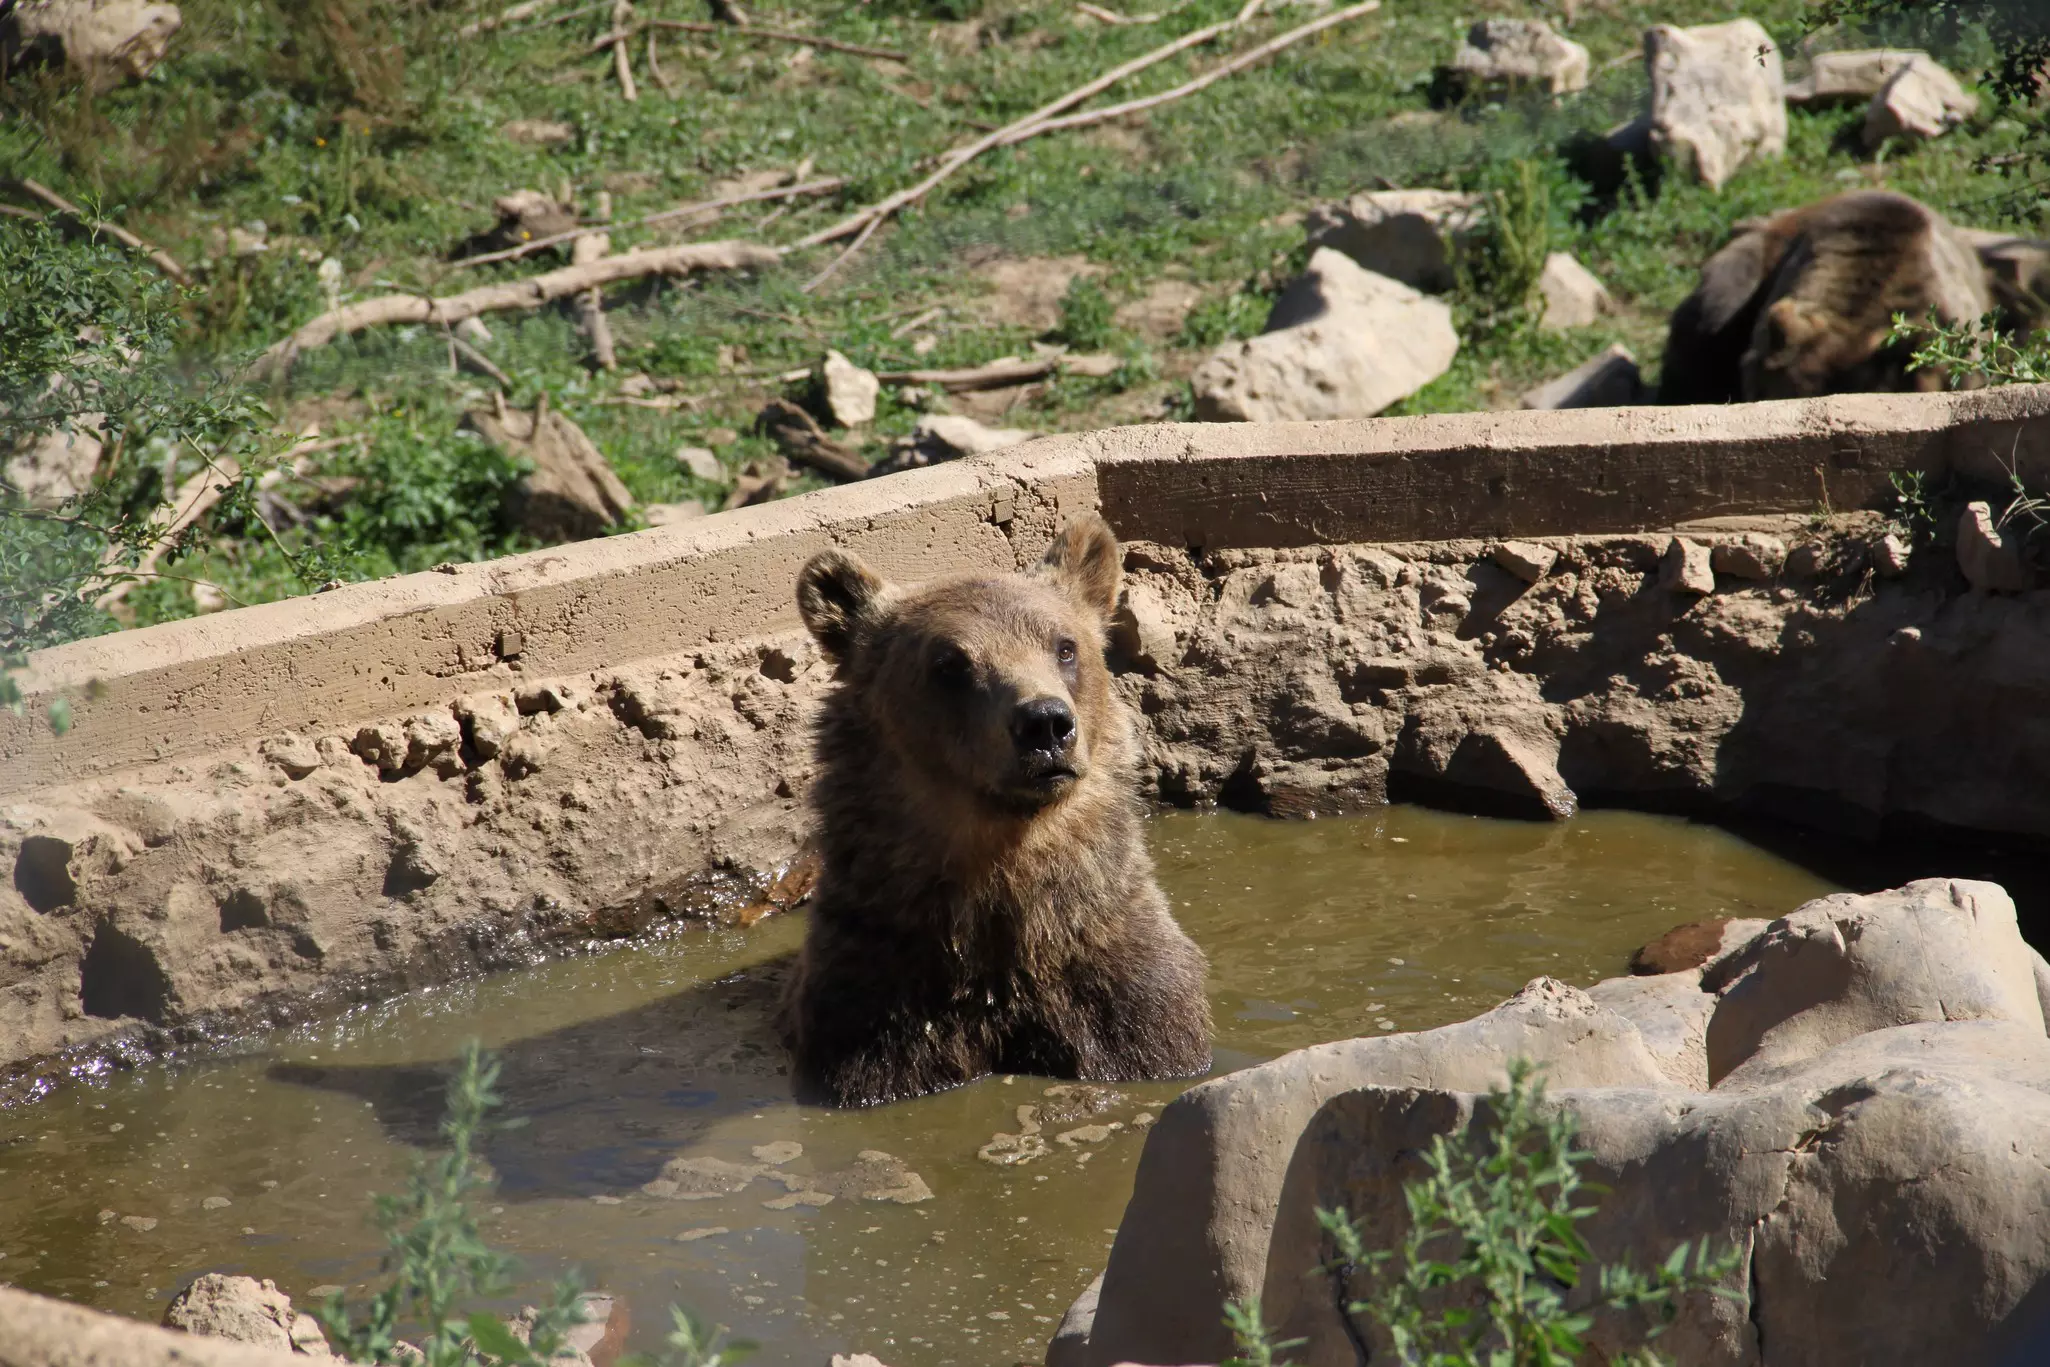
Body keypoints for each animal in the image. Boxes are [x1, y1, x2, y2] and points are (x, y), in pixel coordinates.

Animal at [778, 514, 1212, 1107]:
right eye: (949, 663)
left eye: (1065, 647)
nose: (1045, 723)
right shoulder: (877, 994)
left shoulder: (1121, 981)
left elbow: (1149, 1028)